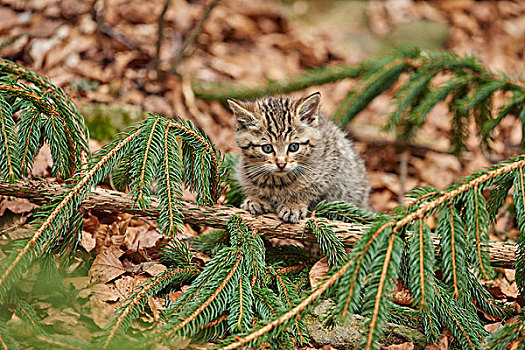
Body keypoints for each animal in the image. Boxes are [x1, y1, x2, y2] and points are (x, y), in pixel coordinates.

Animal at [226, 93, 368, 223]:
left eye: (294, 146)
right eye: (267, 148)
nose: (281, 164)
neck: (278, 182)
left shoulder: (333, 160)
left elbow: (310, 188)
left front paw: (293, 204)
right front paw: (256, 198)